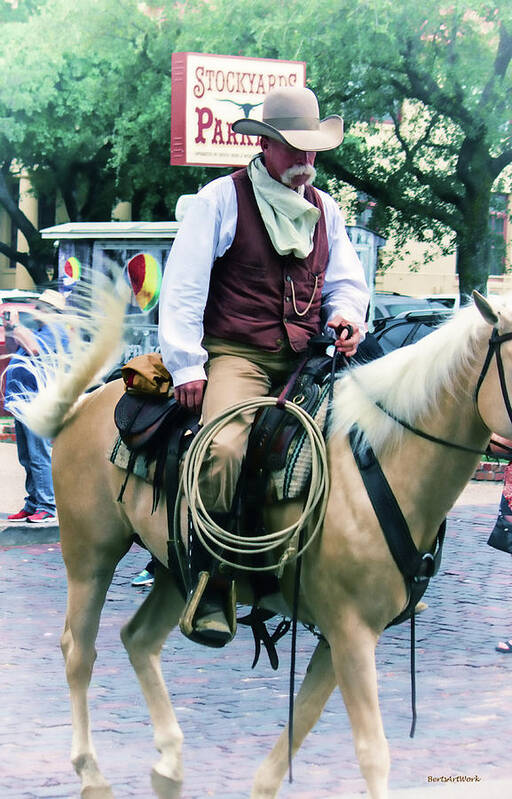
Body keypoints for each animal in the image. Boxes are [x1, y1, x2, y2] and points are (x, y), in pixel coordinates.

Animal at [8, 288, 512, 799]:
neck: (377, 459)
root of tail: (84, 405)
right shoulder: (351, 633)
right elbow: (372, 753)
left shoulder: (340, 636)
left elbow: (300, 722)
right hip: (91, 556)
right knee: (79, 652)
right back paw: (91, 772)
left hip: (176, 569)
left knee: (139, 639)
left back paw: (169, 765)